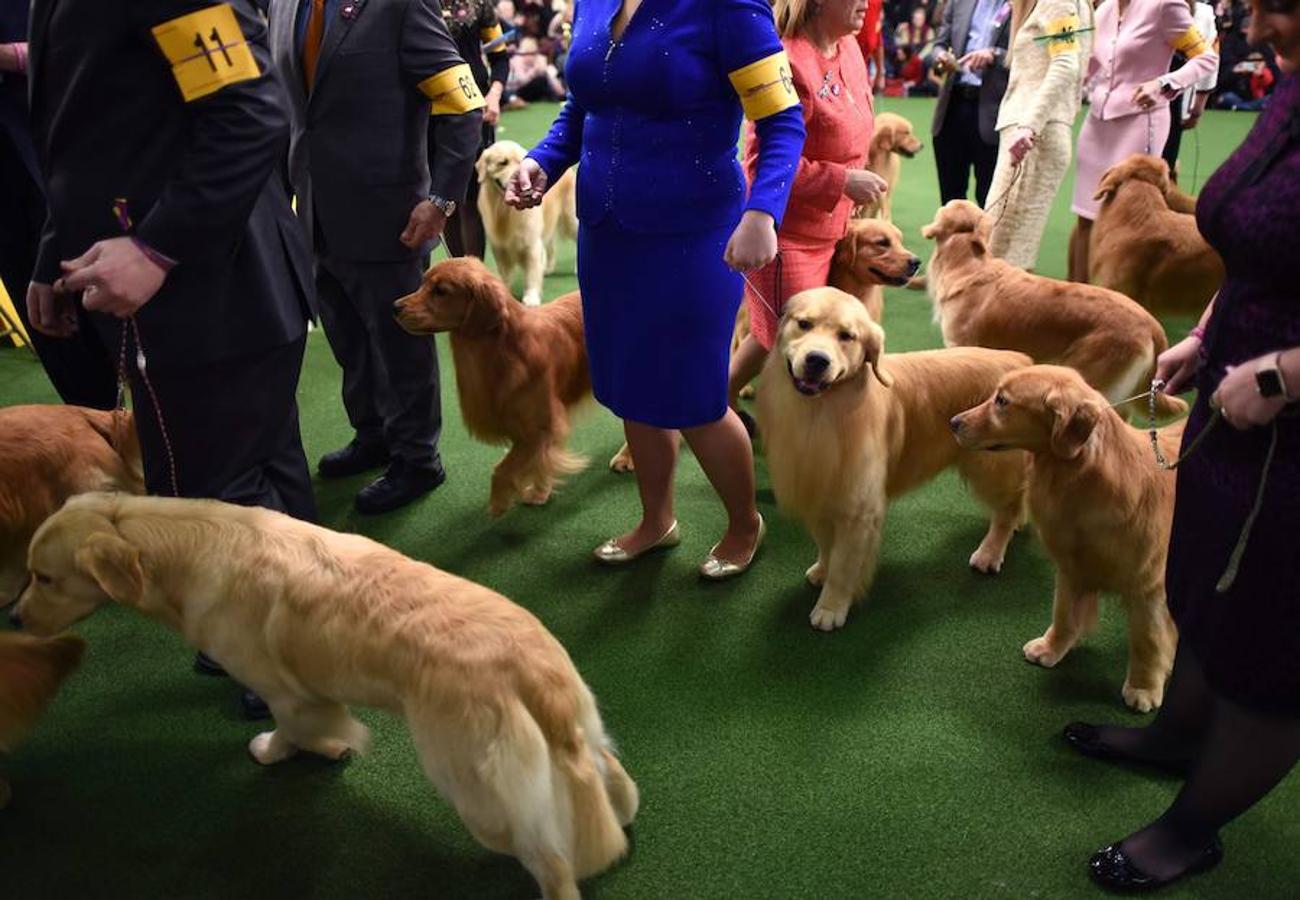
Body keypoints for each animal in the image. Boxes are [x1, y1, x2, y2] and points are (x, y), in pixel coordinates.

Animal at [390, 256, 590, 517]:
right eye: (422, 283)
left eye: (441, 291)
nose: (395, 307)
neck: (503, 348)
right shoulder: (524, 430)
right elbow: (538, 463)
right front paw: (539, 493)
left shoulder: (544, 426)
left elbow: (503, 469)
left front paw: (500, 502)